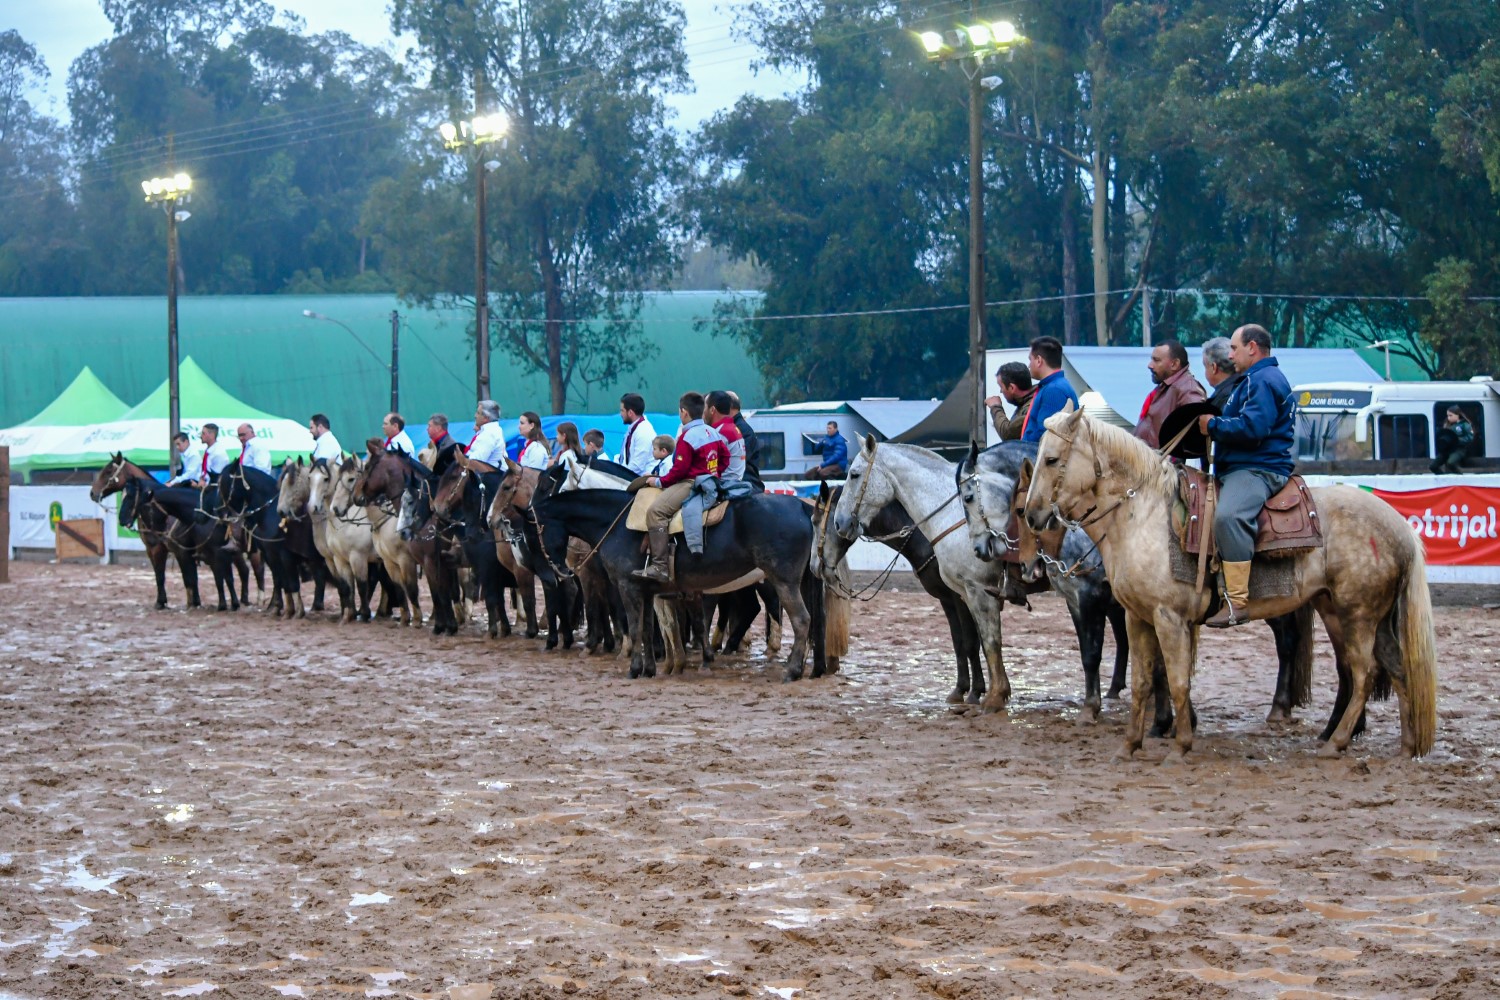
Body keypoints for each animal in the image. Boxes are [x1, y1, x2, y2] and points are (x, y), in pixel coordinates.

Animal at [1026, 401, 1434, 761]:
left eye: (1052, 460)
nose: (1032, 515)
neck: (1142, 514)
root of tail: (1400, 526)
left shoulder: (1168, 618)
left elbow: (1177, 681)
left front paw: (1180, 746)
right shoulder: (1137, 617)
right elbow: (1142, 681)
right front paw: (1129, 747)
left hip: (1358, 615)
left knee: (1364, 674)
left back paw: (1336, 743)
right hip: (1361, 615)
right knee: (1397, 670)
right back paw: (1405, 748)